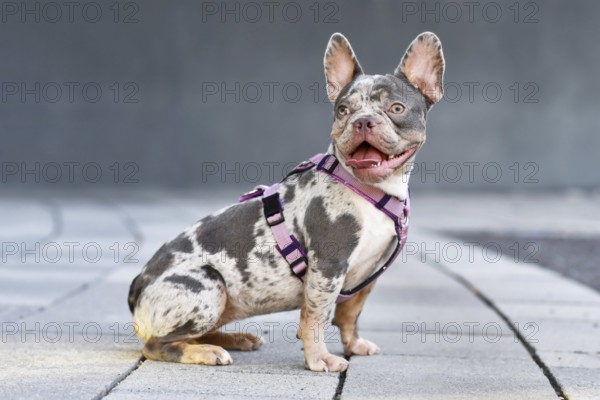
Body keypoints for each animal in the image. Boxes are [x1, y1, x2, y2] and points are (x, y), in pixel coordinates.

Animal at [127, 31, 446, 372]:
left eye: (397, 108)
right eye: (343, 111)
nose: (362, 121)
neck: (371, 189)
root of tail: (138, 285)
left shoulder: (367, 277)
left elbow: (350, 314)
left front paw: (354, 345)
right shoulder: (328, 268)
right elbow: (316, 317)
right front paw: (320, 359)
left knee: (196, 333)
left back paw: (233, 339)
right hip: (209, 284)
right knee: (157, 345)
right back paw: (206, 352)